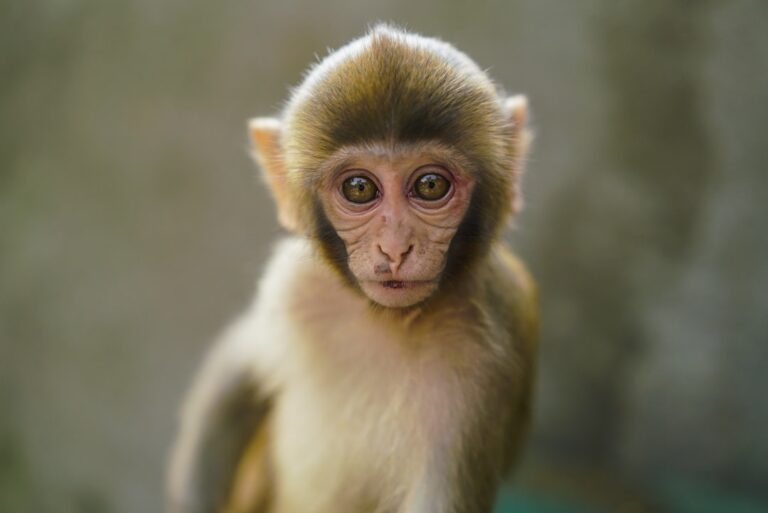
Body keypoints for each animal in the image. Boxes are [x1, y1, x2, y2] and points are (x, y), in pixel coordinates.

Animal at [167, 24, 537, 513]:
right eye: (360, 188)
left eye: (430, 185)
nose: (395, 247)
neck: (389, 319)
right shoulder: (296, 287)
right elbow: (236, 371)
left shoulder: (481, 361)